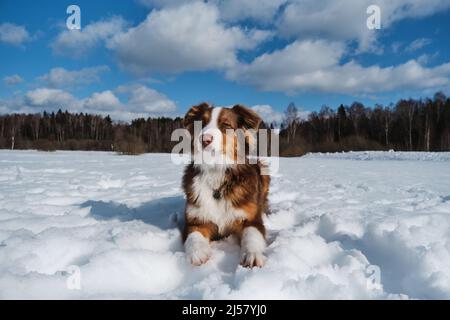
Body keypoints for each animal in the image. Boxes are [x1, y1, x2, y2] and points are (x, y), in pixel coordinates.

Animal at [181, 102, 268, 268]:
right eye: (202, 123)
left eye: (226, 125)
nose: (204, 139)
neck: (217, 171)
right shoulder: (196, 220)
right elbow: (193, 236)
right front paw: (197, 253)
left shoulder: (251, 220)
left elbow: (252, 235)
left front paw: (252, 255)